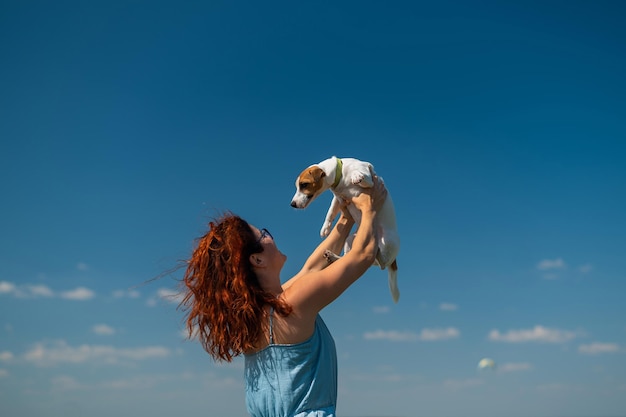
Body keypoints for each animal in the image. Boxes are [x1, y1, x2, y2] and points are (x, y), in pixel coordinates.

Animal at [288, 156, 400, 302]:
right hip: (351, 239)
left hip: (386, 241)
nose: (292, 204)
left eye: (304, 184)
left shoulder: (371, 179)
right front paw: (325, 228)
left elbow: (364, 176)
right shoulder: (338, 199)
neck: (340, 177)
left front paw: (357, 176)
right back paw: (333, 257)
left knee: (381, 263)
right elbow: (330, 212)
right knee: (347, 257)